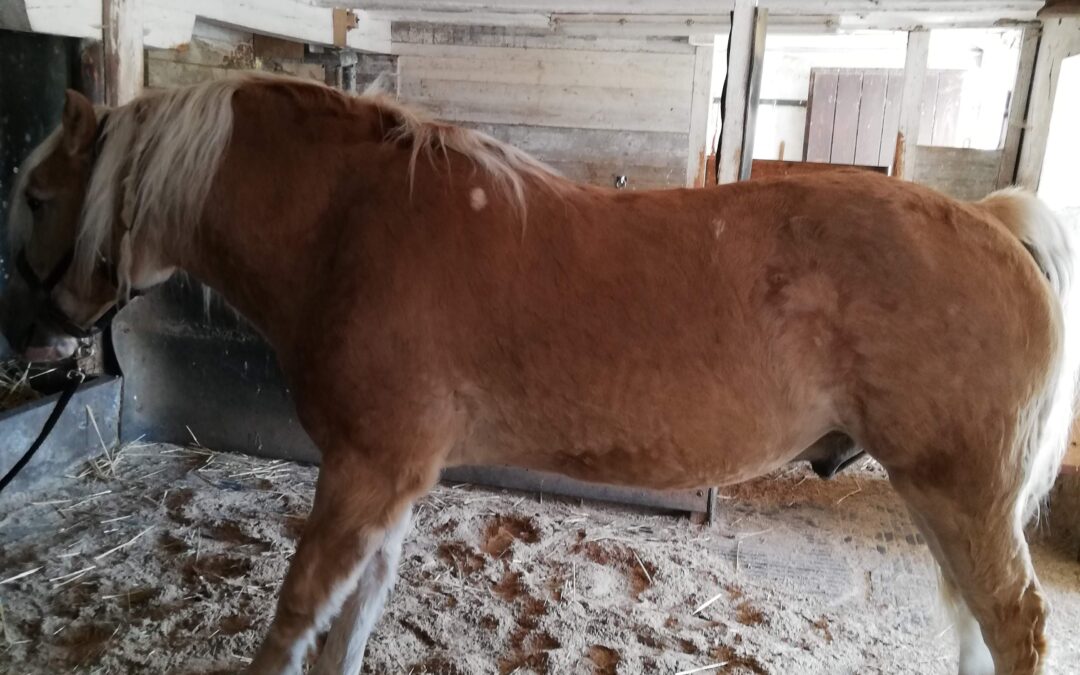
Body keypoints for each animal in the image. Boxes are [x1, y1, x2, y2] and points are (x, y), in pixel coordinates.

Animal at [1, 73, 1076, 675]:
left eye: (39, 195)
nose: (30, 337)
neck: (354, 226)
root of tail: (995, 226)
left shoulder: (364, 473)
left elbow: (299, 615)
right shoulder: (388, 480)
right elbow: (351, 618)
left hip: (964, 495)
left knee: (1018, 627)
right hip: (940, 501)